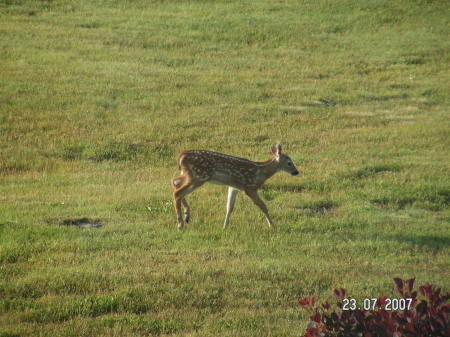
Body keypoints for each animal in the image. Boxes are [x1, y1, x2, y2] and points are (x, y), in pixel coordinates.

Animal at [170, 143, 298, 230]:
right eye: (289, 163)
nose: (296, 172)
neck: (260, 172)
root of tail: (181, 156)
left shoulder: (234, 187)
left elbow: (229, 207)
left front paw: (225, 226)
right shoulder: (249, 187)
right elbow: (263, 206)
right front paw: (272, 225)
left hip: (190, 175)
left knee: (175, 182)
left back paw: (186, 216)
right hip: (199, 176)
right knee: (177, 192)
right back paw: (180, 224)